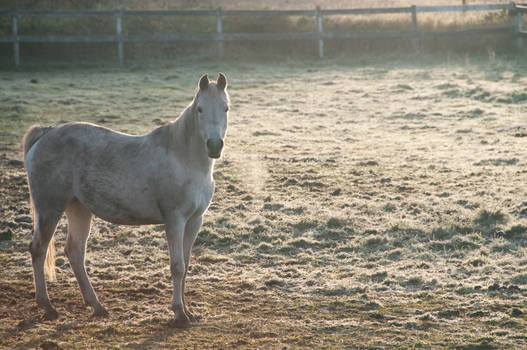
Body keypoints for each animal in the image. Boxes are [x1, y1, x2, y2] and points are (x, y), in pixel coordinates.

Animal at [23, 72, 229, 328]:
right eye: (200, 109)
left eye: (226, 108)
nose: (214, 145)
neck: (183, 158)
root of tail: (45, 134)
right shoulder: (175, 221)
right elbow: (177, 266)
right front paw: (179, 314)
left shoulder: (194, 221)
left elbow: (186, 264)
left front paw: (188, 312)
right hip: (50, 209)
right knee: (39, 249)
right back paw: (48, 307)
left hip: (78, 209)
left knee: (75, 252)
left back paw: (97, 306)